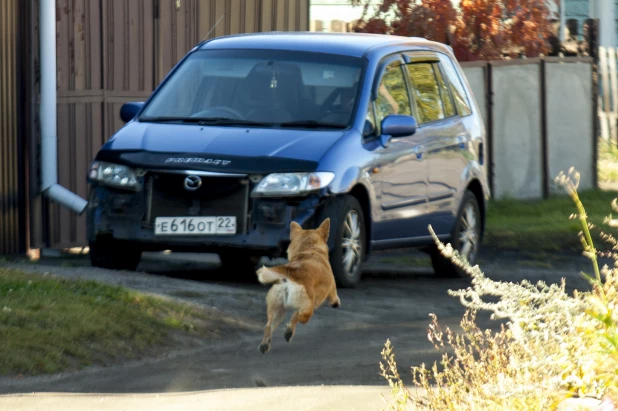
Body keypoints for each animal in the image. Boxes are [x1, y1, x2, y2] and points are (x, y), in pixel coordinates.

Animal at [256, 219, 342, 354]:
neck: (309, 249)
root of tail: (291, 272)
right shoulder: (332, 287)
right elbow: (334, 296)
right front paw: (335, 303)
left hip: (277, 310)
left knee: (268, 326)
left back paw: (265, 344)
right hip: (307, 310)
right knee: (295, 317)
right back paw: (289, 332)